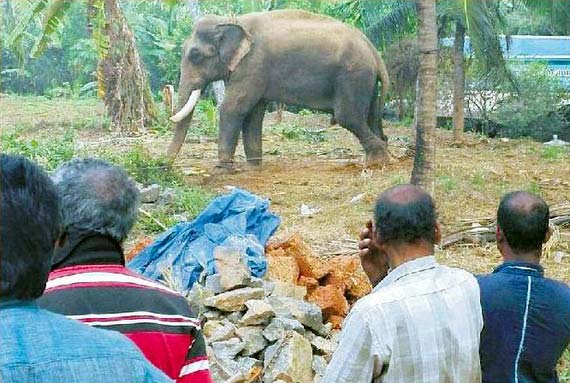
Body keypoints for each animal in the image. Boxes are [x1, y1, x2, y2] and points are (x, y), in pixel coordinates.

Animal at [169, 9, 388, 170]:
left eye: (195, 55)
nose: (165, 165)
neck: (231, 20)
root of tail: (374, 52)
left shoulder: (252, 65)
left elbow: (232, 108)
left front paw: (221, 170)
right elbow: (254, 114)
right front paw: (253, 168)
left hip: (353, 75)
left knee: (347, 117)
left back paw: (376, 162)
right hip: (366, 81)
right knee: (371, 115)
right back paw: (380, 154)